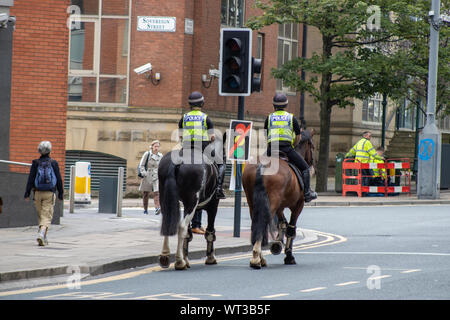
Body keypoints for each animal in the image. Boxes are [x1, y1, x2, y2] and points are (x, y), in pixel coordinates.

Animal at [241, 129, 314, 268]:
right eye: (312, 146)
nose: (312, 163)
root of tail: (262, 165)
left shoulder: (280, 207)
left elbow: (282, 223)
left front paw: (277, 244)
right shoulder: (298, 205)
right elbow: (290, 228)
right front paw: (289, 256)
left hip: (252, 202)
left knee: (256, 223)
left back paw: (258, 257)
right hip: (272, 202)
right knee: (263, 222)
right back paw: (257, 258)